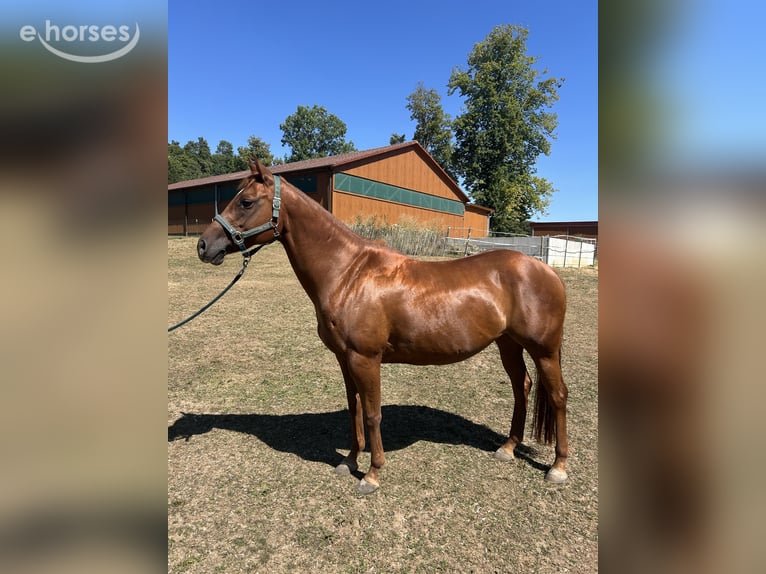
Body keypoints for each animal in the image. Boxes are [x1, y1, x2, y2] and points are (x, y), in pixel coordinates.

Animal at [196, 159, 569, 494]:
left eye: (245, 201)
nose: (203, 245)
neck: (348, 273)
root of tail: (545, 270)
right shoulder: (345, 359)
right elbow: (355, 409)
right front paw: (349, 461)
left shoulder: (366, 358)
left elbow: (373, 414)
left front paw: (372, 475)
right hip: (508, 344)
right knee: (522, 387)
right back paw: (507, 448)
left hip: (544, 350)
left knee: (558, 395)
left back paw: (558, 467)